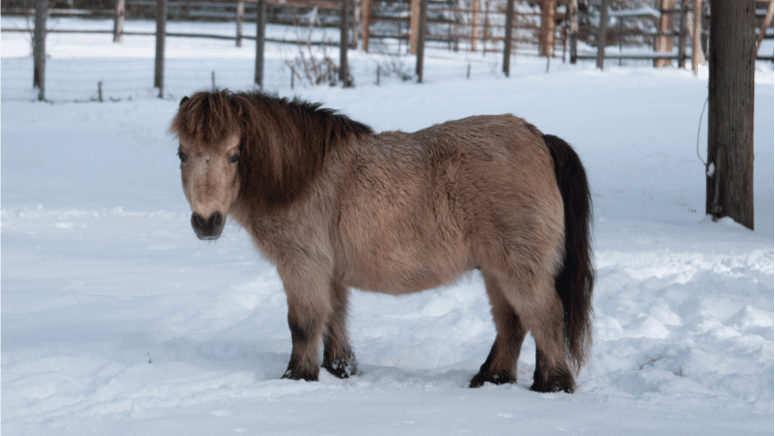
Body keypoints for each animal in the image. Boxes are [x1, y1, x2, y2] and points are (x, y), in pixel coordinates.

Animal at [171, 90, 596, 394]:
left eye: (234, 155)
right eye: (182, 153)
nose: (206, 222)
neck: (301, 178)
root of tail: (538, 138)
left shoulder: (301, 264)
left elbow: (304, 323)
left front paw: (297, 377)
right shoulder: (329, 270)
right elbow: (334, 317)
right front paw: (340, 370)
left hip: (518, 266)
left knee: (544, 315)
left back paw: (551, 385)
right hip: (496, 268)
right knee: (512, 322)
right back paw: (492, 379)